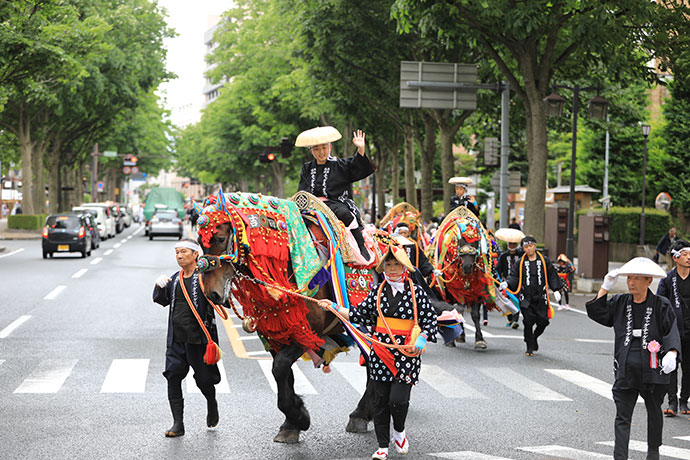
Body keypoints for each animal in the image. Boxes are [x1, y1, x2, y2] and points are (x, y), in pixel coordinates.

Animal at [191, 190, 378, 442]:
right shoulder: (277, 333)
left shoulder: (308, 332)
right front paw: (292, 421)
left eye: (220, 239)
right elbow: (283, 374)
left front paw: (298, 416)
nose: (212, 293)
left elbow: (279, 368)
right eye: (200, 242)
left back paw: (361, 414)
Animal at [428, 205, 498, 348]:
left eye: (476, 243)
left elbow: (475, 314)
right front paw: (456, 337)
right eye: (460, 242)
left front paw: (480, 339)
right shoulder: (454, 290)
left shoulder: (477, 289)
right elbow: (457, 310)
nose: (467, 267)